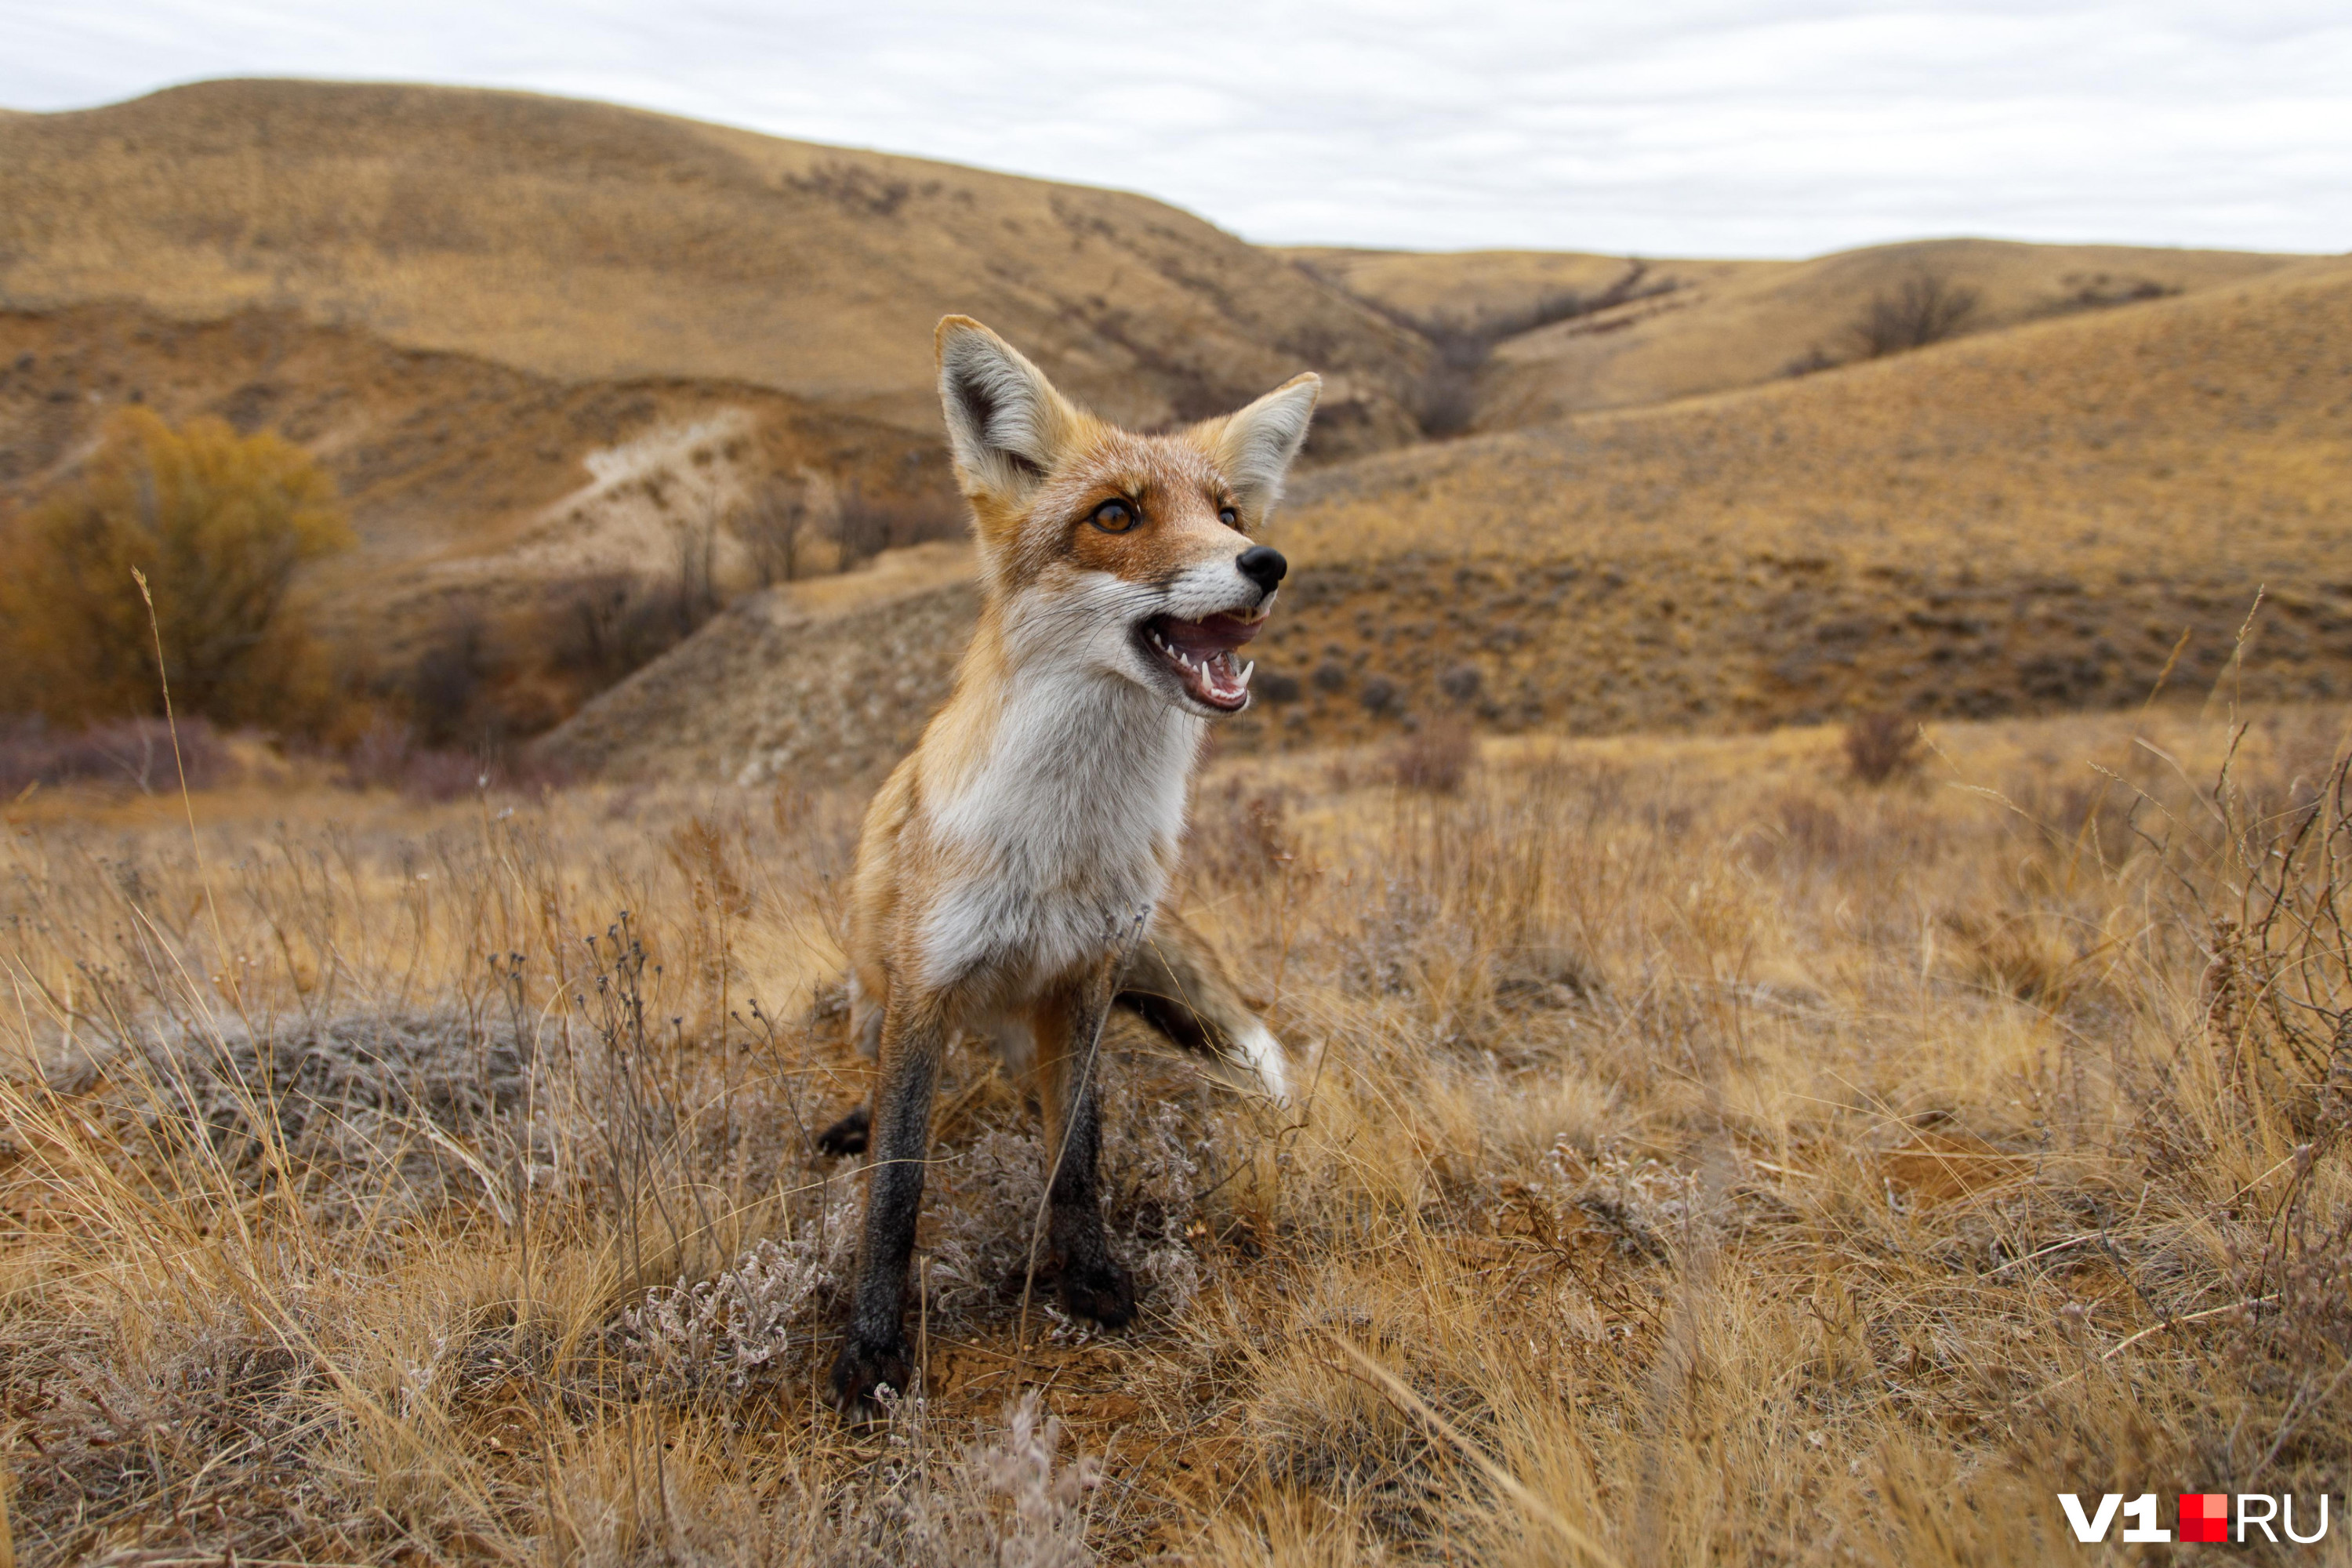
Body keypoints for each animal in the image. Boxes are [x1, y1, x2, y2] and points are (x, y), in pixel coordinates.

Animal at [823, 319, 1308, 1410]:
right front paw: (874, 1343)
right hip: (877, 987)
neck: (1067, 842)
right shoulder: (927, 983)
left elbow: (1079, 1152)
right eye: (1116, 515)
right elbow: (898, 1179)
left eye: (1227, 513)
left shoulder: (1089, 976)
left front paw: (1088, 1275)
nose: (1265, 562)